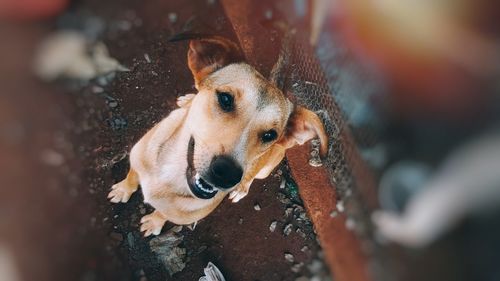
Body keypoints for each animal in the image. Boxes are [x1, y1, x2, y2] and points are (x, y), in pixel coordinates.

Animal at [107, 35, 326, 236]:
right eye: (225, 99)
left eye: (270, 134)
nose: (227, 174)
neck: (169, 175)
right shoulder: (137, 161)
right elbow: (131, 177)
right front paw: (122, 190)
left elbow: (163, 214)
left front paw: (154, 222)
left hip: (265, 169)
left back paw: (241, 189)